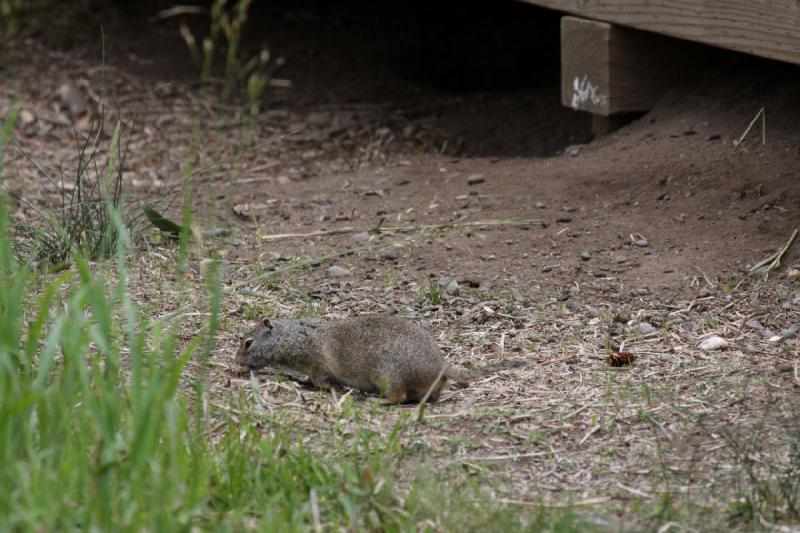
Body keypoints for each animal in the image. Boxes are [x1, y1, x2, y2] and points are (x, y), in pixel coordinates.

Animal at [236, 314, 524, 402]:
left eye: (248, 342)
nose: (237, 361)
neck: (291, 336)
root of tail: (442, 367)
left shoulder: (315, 362)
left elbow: (320, 379)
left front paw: (322, 387)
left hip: (386, 373)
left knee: (399, 396)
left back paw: (379, 400)